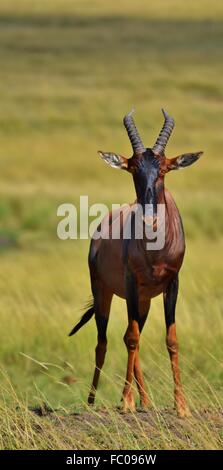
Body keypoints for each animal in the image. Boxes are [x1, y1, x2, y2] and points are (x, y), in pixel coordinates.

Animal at [69, 109, 202, 414]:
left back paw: (146, 400)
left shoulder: (172, 284)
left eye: (164, 169)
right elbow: (130, 339)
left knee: (131, 337)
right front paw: (126, 403)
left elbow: (171, 340)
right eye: (132, 169)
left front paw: (181, 407)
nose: (149, 218)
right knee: (105, 342)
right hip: (104, 291)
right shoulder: (130, 283)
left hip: (144, 301)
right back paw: (94, 401)